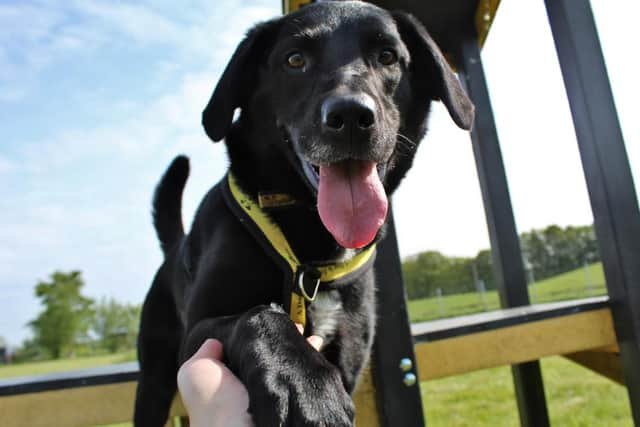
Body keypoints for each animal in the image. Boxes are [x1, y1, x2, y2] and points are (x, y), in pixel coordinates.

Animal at [135, 1, 472, 426]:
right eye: (295, 60)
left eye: (388, 56)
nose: (350, 116)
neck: (310, 247)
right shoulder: (196, 340)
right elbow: (258, 315)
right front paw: (307, 387)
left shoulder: (349, 353)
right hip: (154, 380)